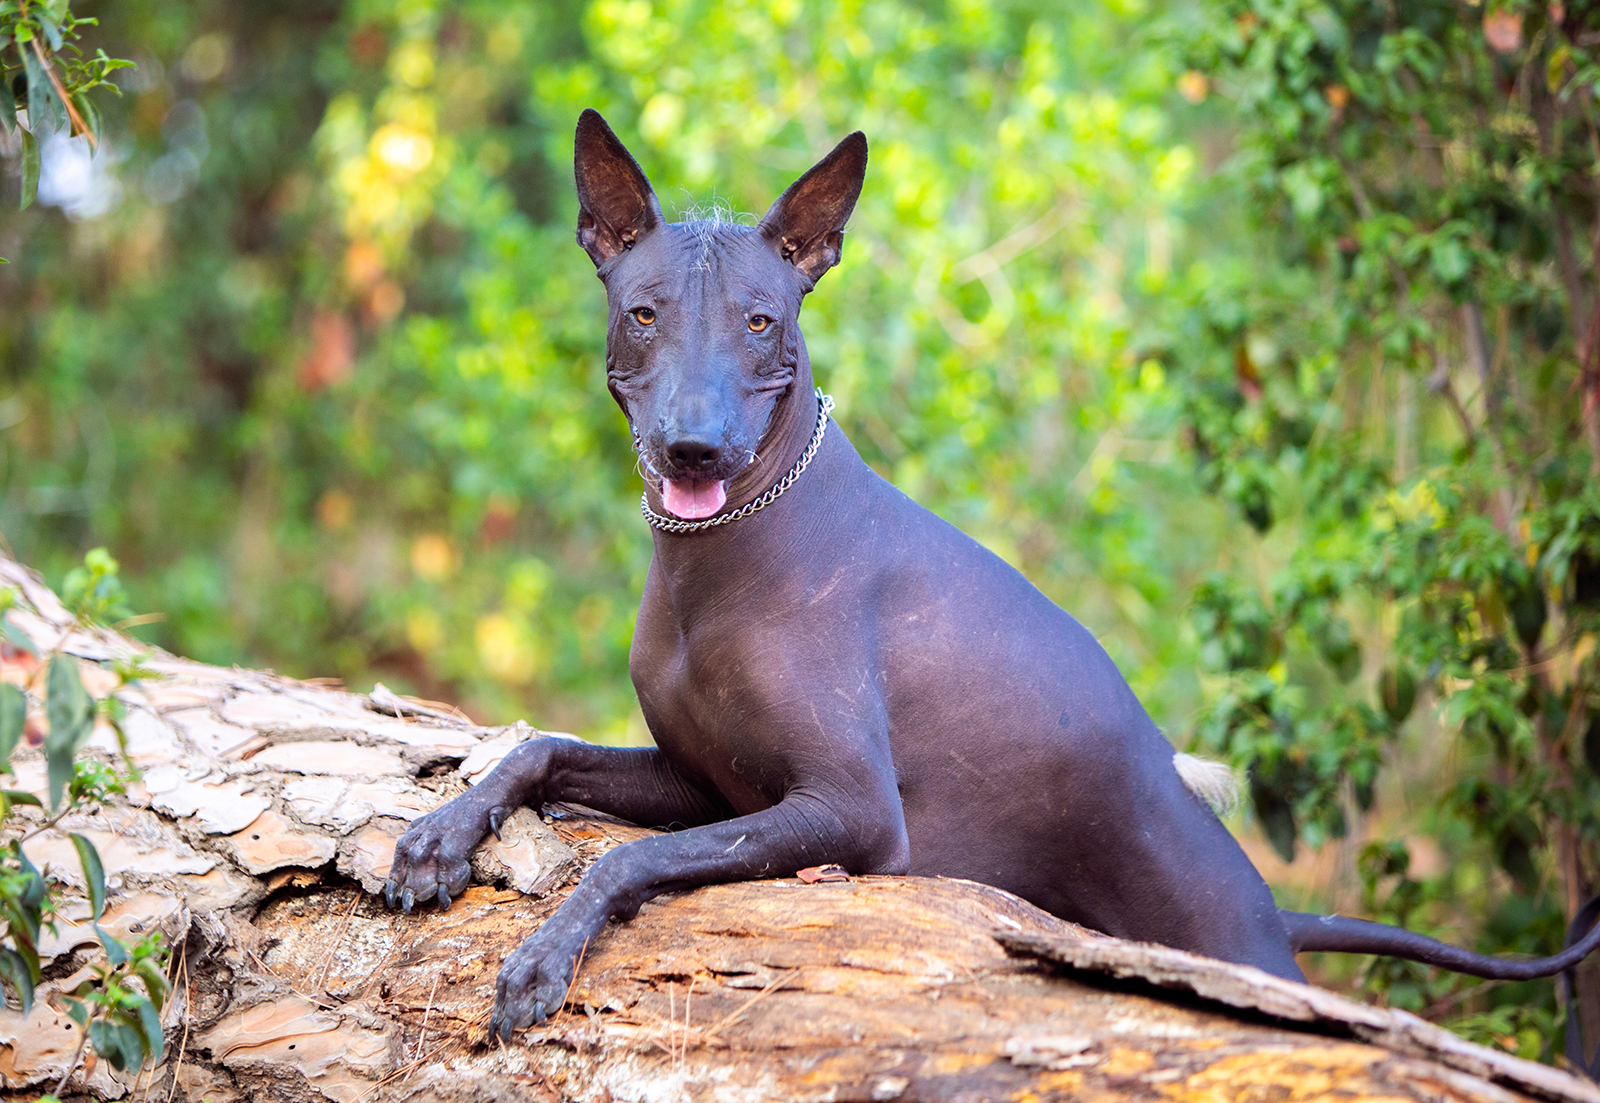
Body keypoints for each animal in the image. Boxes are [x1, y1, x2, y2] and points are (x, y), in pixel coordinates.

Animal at [387, 107, 1600, 1043]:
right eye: (643, 312)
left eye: (761, 321)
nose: (696, 449)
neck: (722, 557)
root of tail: (1266, 903)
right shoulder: (709, 783)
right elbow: (540, 747)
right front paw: (441, 832)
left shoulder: (842, 811)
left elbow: (633, 861)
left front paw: (540, 956)